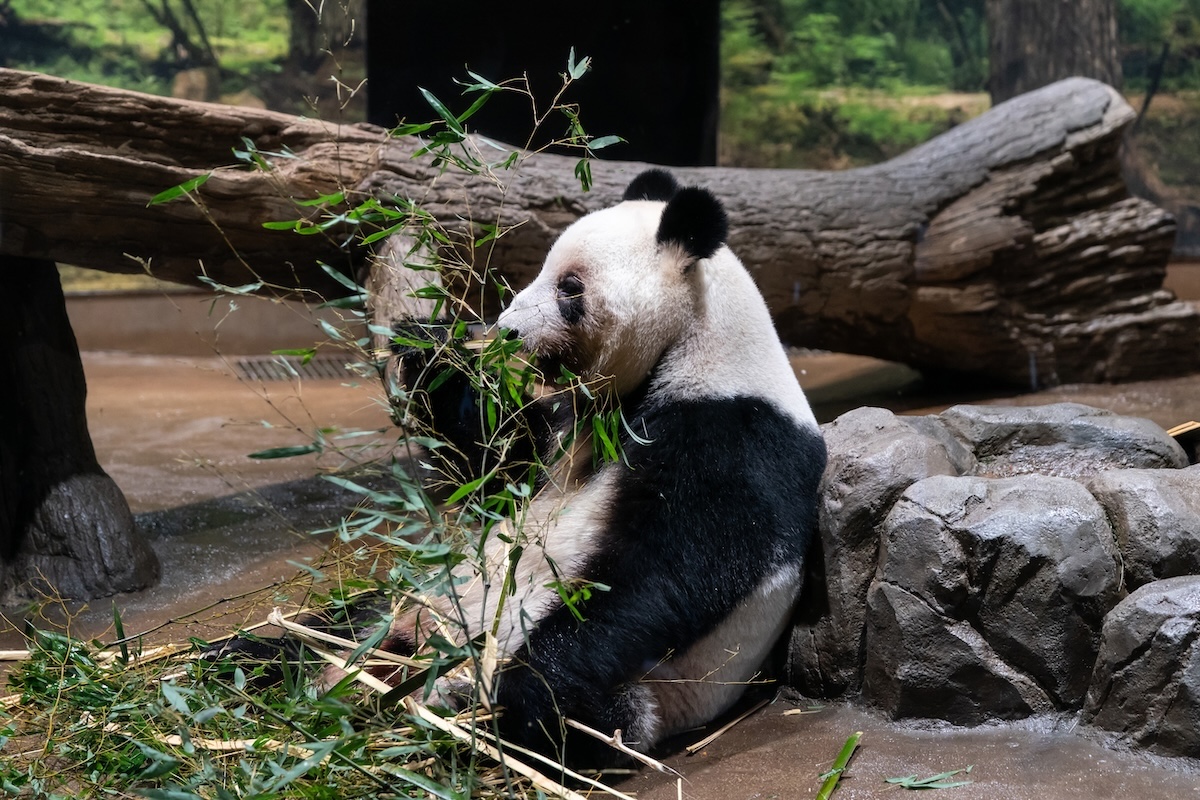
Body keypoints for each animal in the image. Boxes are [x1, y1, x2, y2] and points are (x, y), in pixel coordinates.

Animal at [390, 168, 827, 767]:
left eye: (570, 287)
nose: (506, 331)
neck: (694, 342)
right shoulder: (568, 428)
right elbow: (494, 466)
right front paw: (428, 350)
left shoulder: (733, 436)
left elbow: (664, 572)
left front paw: (522, 685)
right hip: (433, 595)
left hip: (649, 698)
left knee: (578, 717)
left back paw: (466, 699)